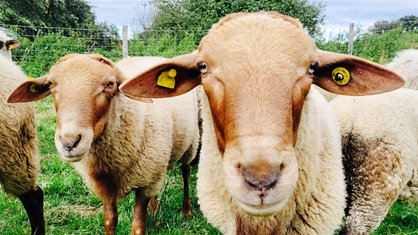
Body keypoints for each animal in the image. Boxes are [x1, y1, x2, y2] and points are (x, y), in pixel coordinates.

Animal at [7, 53, 201, 235]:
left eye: (110, 84)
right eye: (51, 85)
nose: (69, 142)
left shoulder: (144, 183)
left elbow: (138, 227)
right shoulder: (107, 186)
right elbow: (110, 220)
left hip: (190, 143)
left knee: (186, 171)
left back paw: (187, 210)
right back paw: (154, 208)